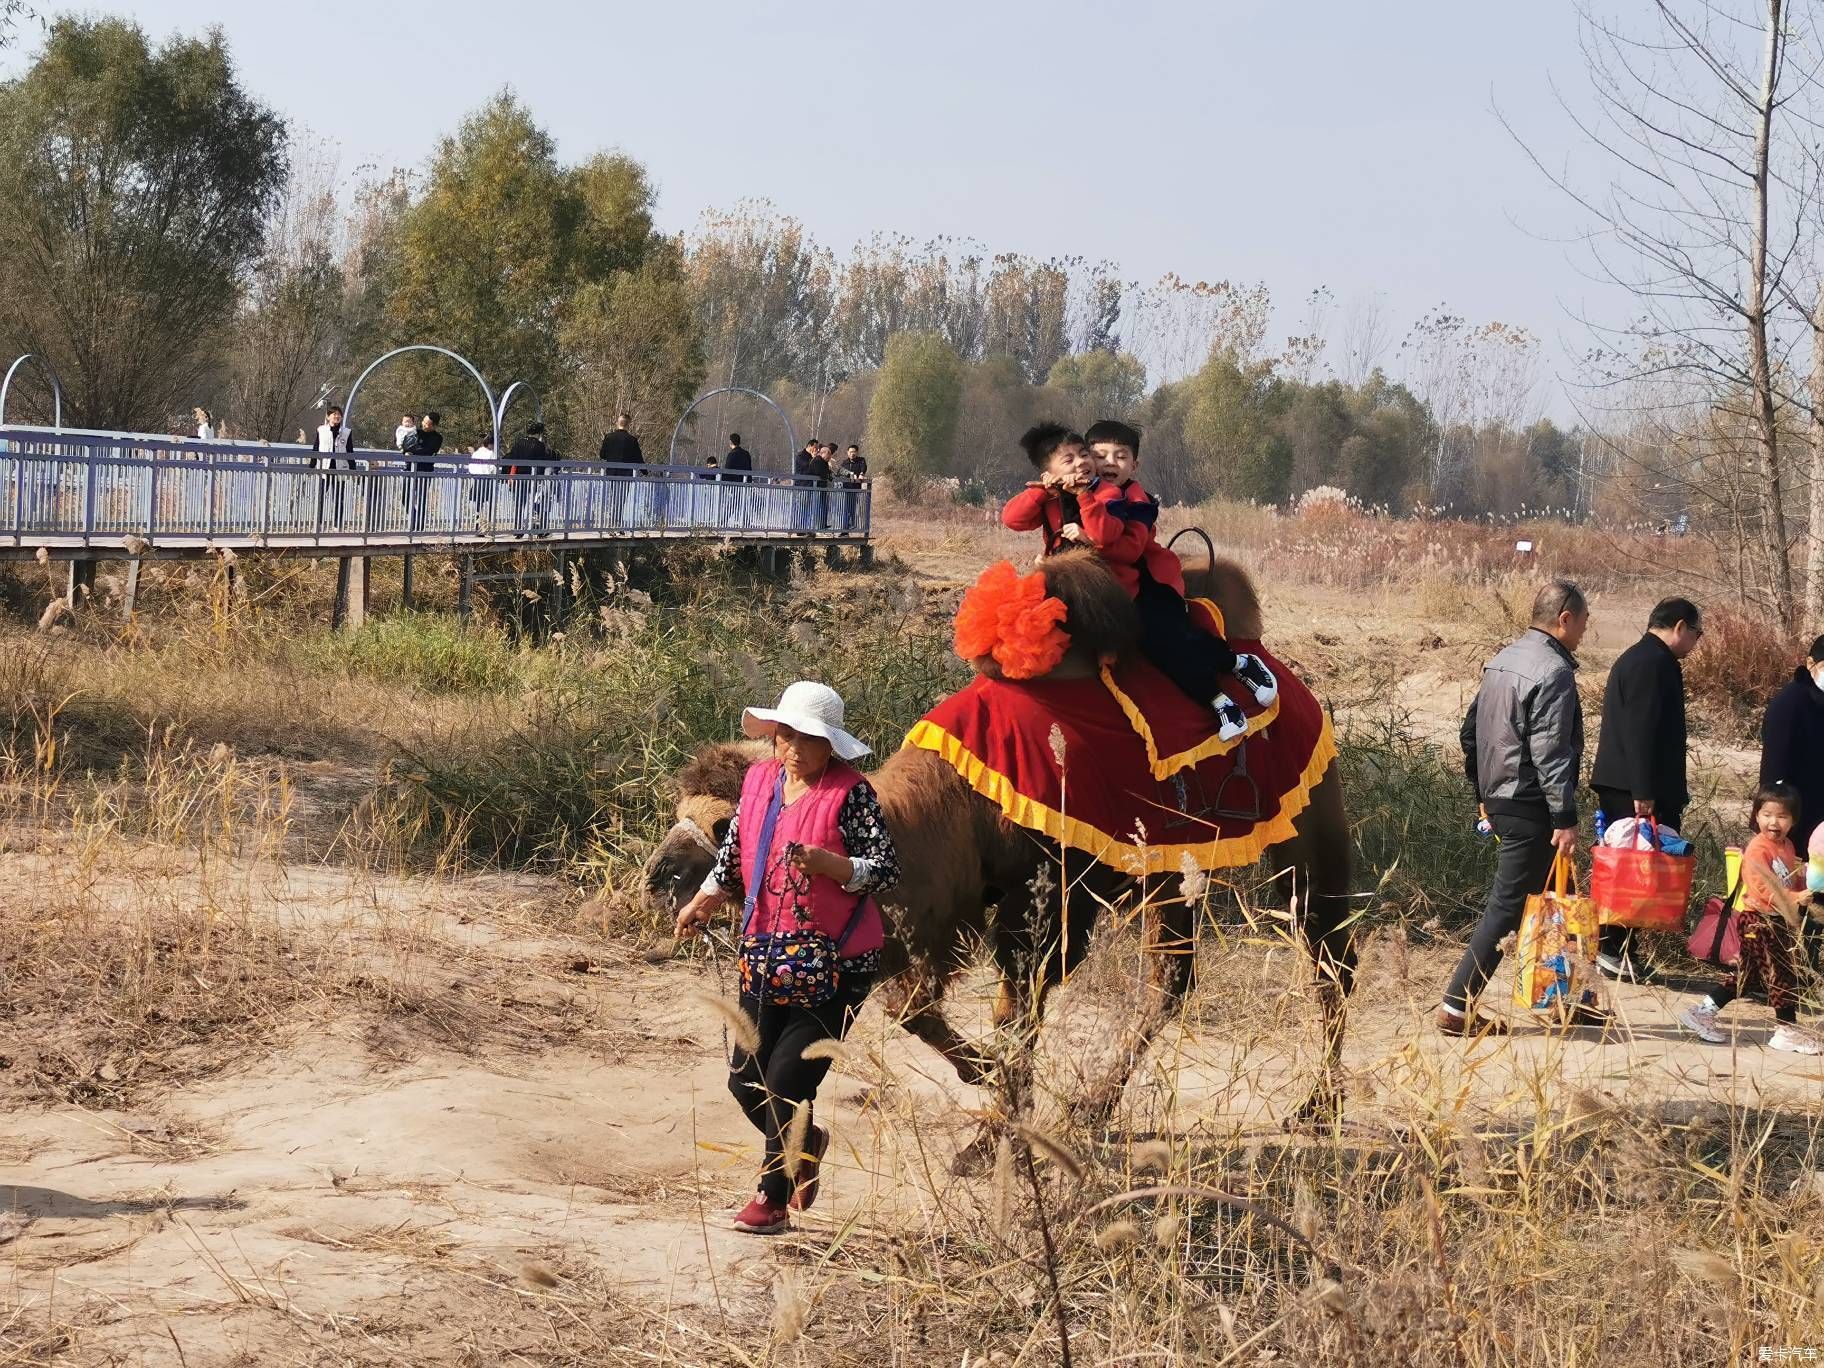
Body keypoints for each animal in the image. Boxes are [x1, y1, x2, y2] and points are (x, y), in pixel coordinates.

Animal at [642, 550, 1357, 1138]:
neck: (954, 803)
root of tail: (1282, 668)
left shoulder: (1050, 894)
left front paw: (996, 1122)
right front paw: (987, 1080)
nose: (659, 876)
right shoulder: (947, 905)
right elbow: (915, 1008)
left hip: (1308, 821)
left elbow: (1016, 1006)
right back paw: (1095, 1107)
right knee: (1174, 979)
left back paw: (1317, 1108)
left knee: (1330, 956)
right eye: (681, 813)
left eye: (722, 824)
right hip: (1171, 866)